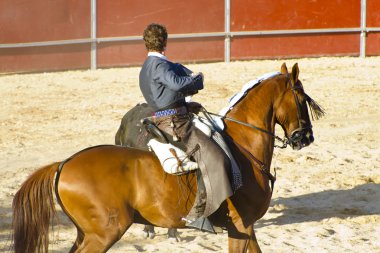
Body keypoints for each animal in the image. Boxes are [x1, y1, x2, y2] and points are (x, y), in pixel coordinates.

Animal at [11, 62, 324, 252]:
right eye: (301, 98)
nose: (305, 137)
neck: (242, 148)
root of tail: (64, 164)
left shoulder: (244, 228)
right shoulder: (242, 225)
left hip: (86, 233)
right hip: (104, 233)